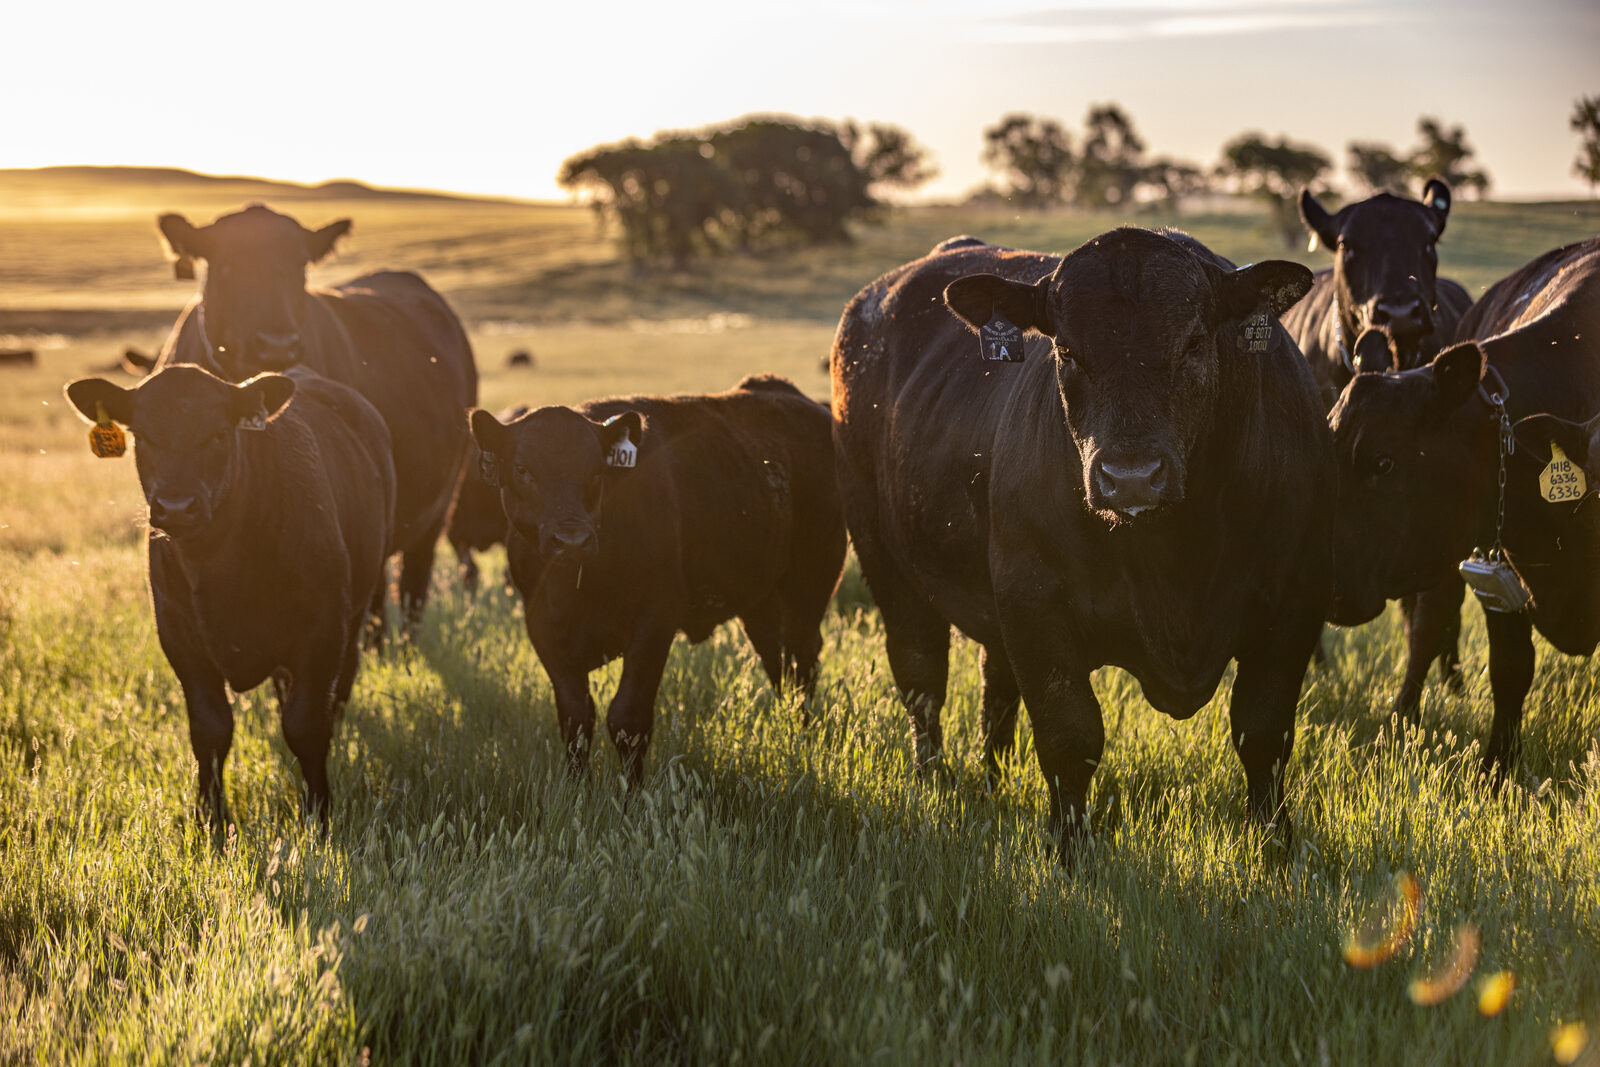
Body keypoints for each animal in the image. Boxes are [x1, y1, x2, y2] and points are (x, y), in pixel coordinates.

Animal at [64, 363, 396, 838]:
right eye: (143, 435)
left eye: (220, 434)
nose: (176, 506)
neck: (223, 568)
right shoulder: (180, 639)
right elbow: (210, 729)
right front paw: (210, 816)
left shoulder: (322, 631)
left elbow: (306, 724)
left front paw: (318, 813)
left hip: (355, 612)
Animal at [470, 374, 847, 782]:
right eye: (523, 470)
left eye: (596, 472)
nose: (572, 541)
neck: (578, 586)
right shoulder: (541, 625)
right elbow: (575, 717)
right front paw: (577, 788)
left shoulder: (656, 616)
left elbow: (628, 716)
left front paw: (632, 792)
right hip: (760, 598)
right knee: (777, 660)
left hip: (811, 580)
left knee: (801, 660)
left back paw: (804, 734)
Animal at [831, 230, 1330, 863]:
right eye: (1066, 351)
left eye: (1195, 343)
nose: (1132, 477)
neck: (1176, 556)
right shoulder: (1035, 604)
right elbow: (1070, 735)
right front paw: (1068, 852)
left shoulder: (1295, 606)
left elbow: (1263, 731)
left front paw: (1275, 844)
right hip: (885, 562)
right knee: (922, 679)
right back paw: (936, 782)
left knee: (995, 689)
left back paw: (991, 781)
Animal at [1327, 235, 1600, 778]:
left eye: (1383, 461)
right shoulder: (1503, 570)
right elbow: (1510, 670)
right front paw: (1498, 770)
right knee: (1427, 627)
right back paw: (1400, 720)